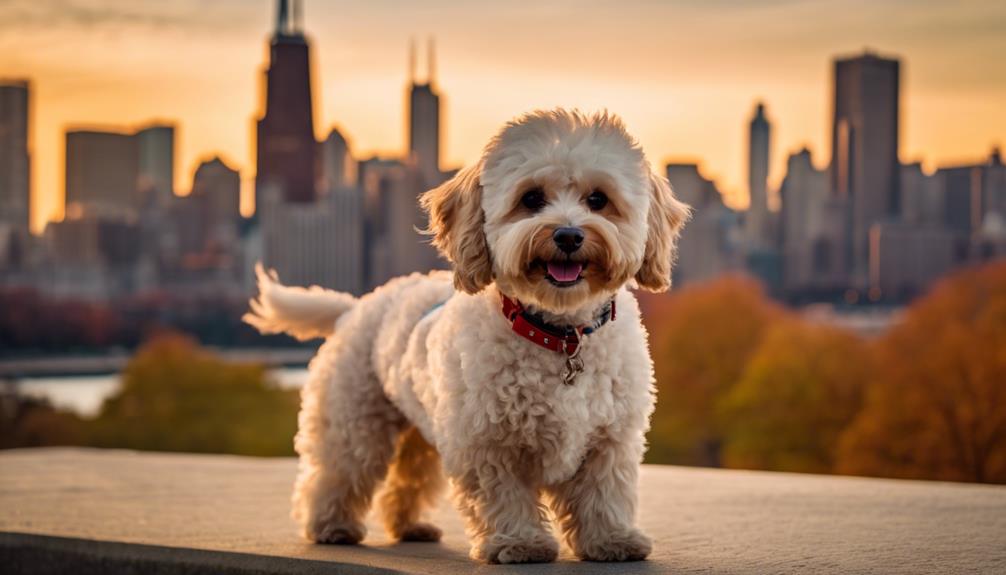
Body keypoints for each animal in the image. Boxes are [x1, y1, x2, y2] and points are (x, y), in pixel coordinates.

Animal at [244, 109, 688, 566]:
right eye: (531, 199)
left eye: (598, 199)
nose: (568, 235)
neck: (560, 334)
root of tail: (356, 305)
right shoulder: (487, 441)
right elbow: (504, 496)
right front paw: (519, 542)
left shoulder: (609, 439)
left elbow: (605, 492)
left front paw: (612, 539)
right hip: (356, 422)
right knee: (338, 471)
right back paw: (330, 526)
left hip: (422, 431)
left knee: (409, 479)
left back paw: (410, 526)